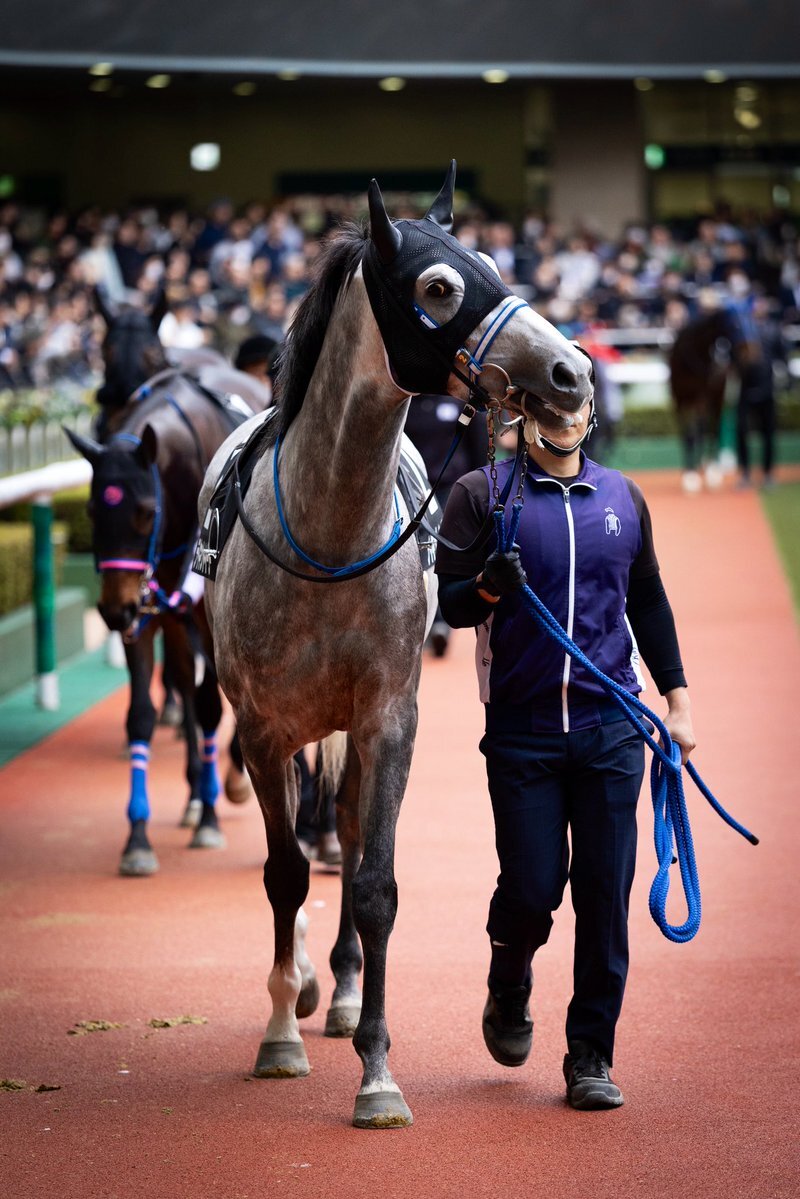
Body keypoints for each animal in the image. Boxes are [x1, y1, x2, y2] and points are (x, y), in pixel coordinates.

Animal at [197, 162, 593, 1127]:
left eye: (494, 262)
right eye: (440, 287)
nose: (571, 370)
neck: (328, 538)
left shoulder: (387, 716)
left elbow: (373, 883)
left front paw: (376, 1068)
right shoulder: (262, 729)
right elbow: (284, 875)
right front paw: (281, 1033)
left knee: (341, 832)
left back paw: (338, 991)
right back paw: (304, 988)